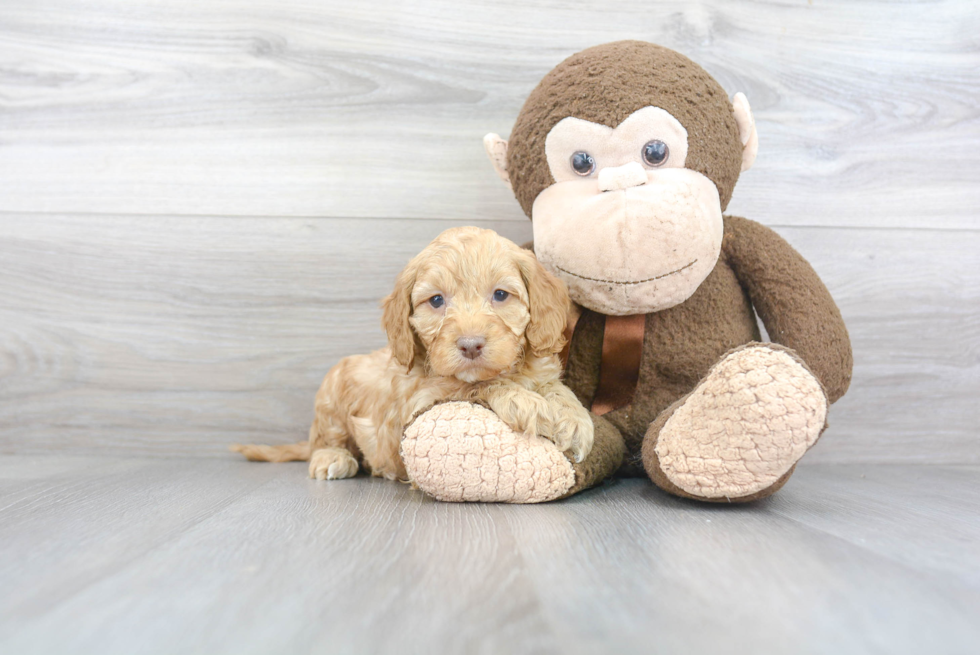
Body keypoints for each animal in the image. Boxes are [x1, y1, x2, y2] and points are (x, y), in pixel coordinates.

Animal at [234, 227, 592, 482]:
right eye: (436, 301)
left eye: (501, 295)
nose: (471, 345)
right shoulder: (417, 401)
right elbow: (472, 385)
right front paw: (527, 403)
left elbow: (555, 389)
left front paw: (573, 419)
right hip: (331, 393)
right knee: (326, 439)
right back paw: (332, 458)